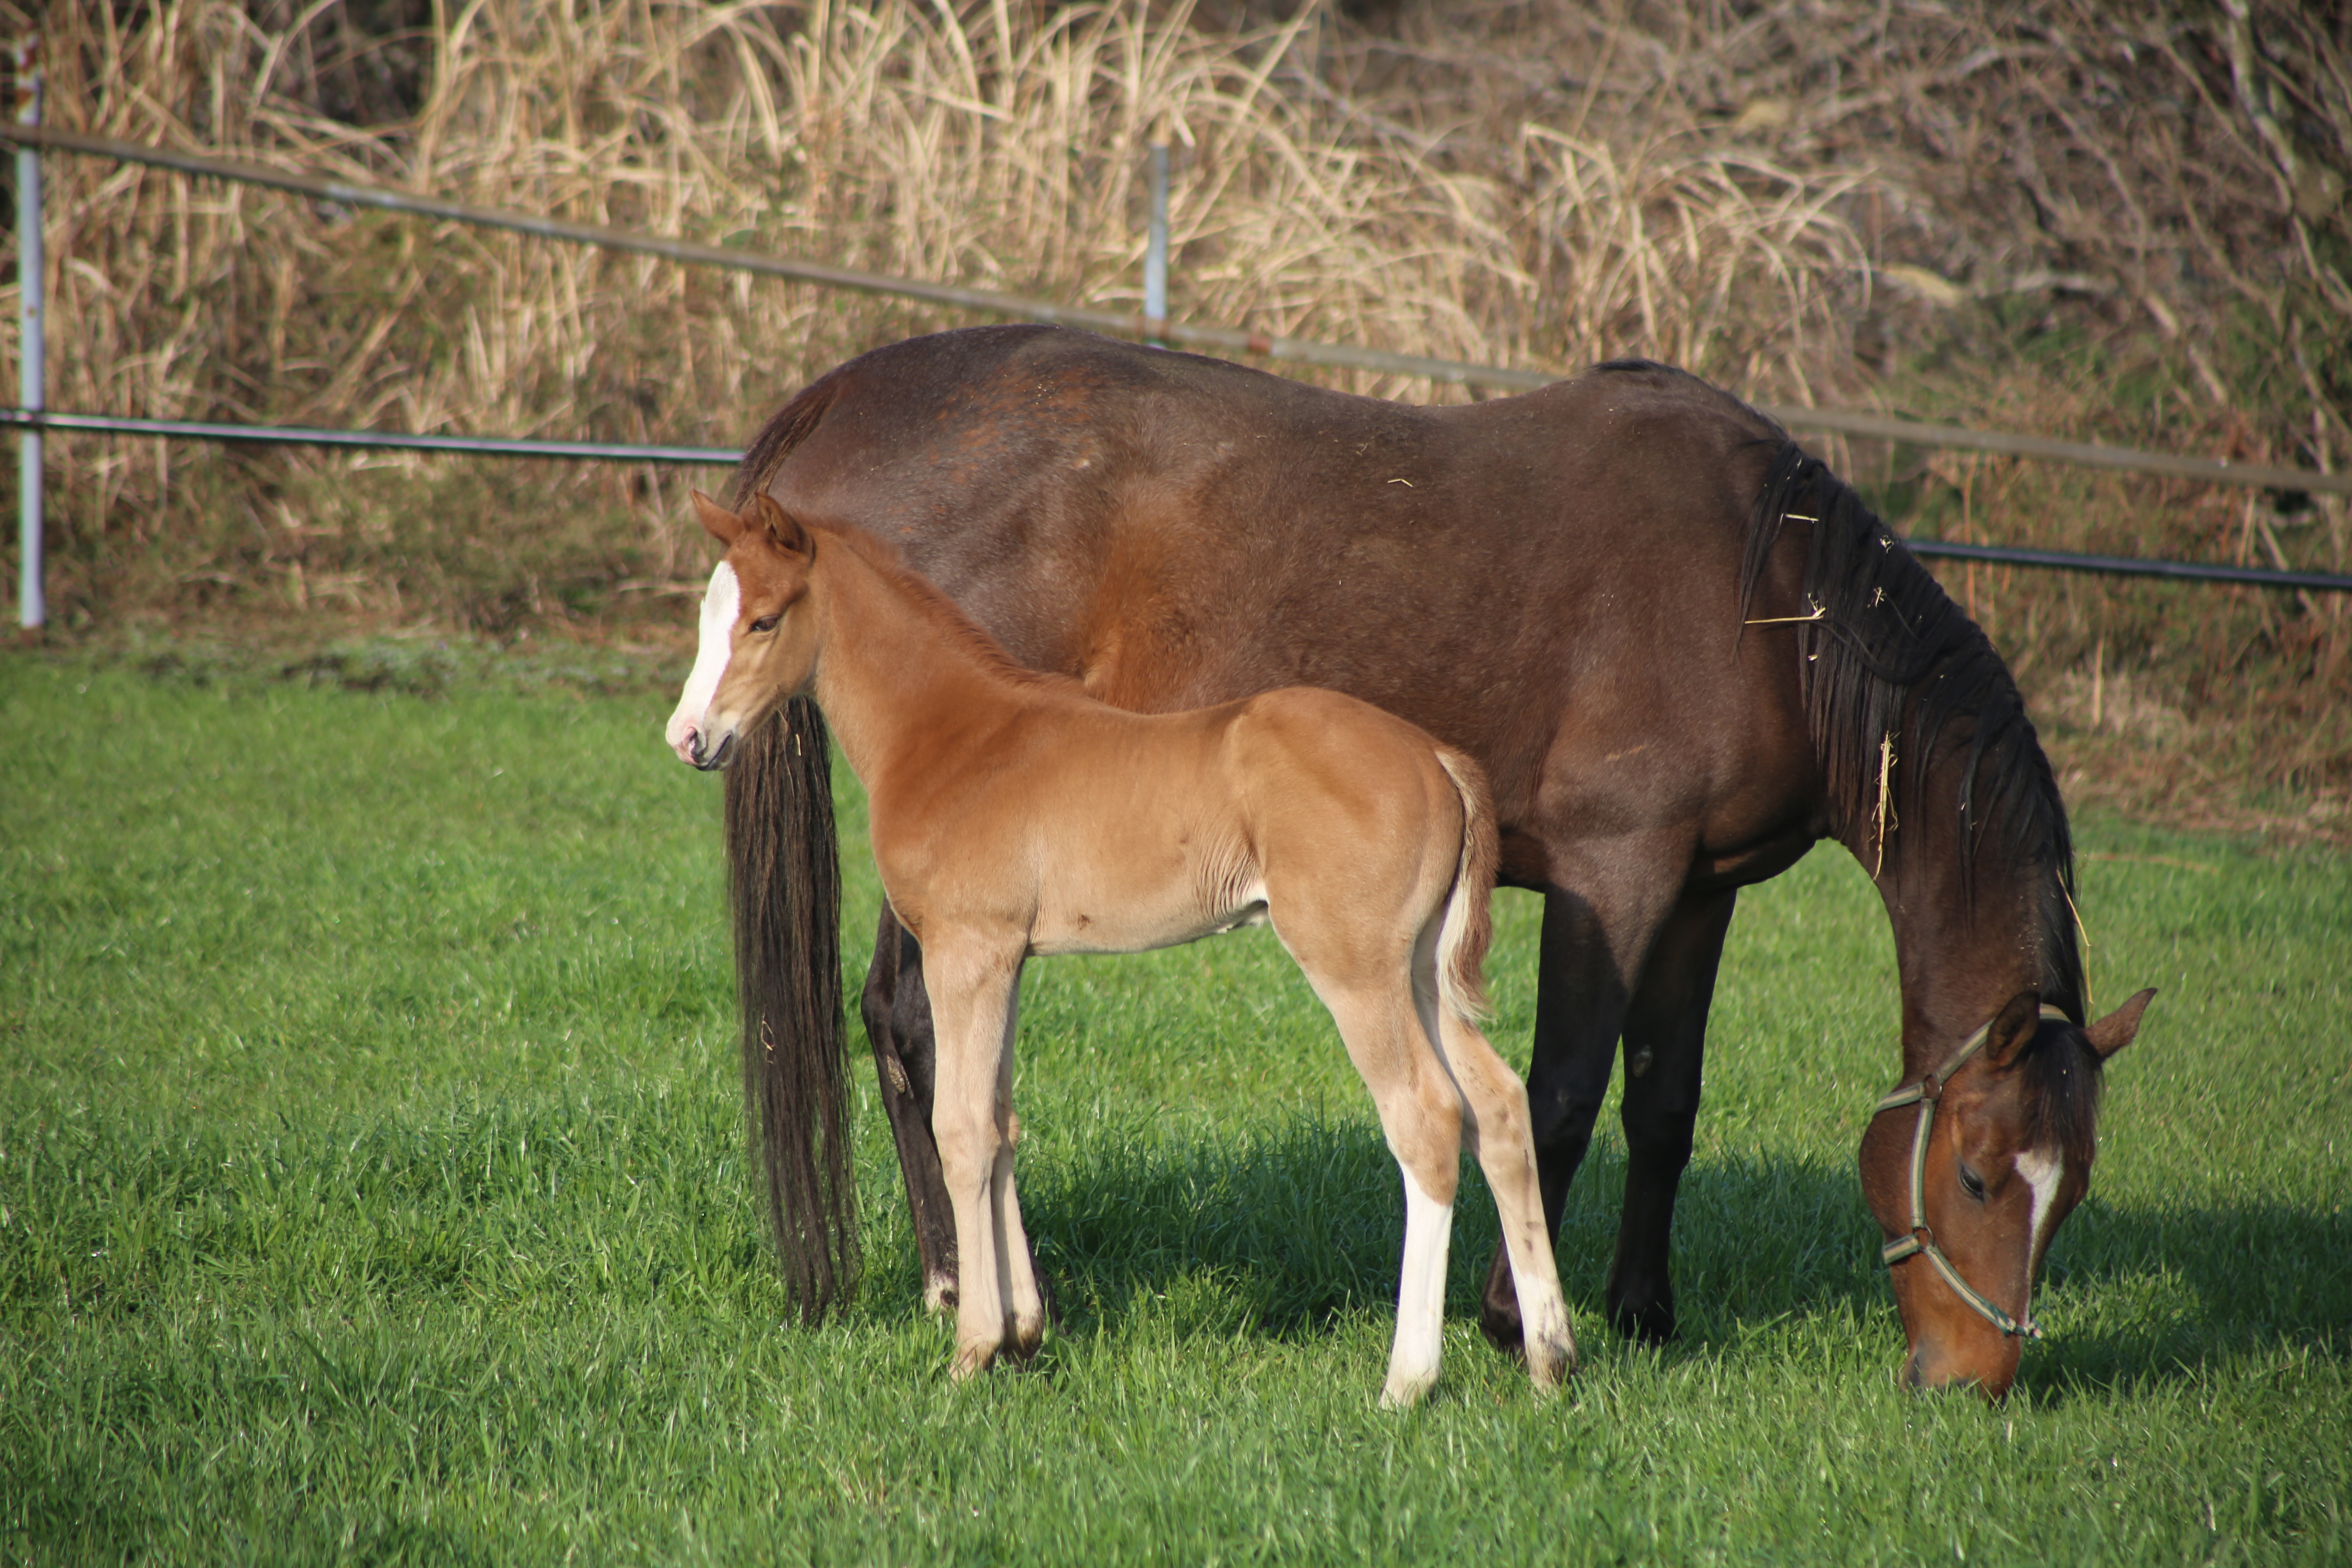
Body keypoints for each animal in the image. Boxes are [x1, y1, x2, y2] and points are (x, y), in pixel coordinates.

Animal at [668, 493, 1580, 1410]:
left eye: (763, 620)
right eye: (709, 616)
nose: (689, 738)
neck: (955, 736)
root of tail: (1438, 757)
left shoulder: (968, 953)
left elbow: (962, 1129)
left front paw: (974, 1351)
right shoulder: (1008, 960)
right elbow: (1001, 1121)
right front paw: (1026, 1333)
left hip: (1358, 972)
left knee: (1425, 1120)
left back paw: (1407, 1380)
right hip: (1421, 972)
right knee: (1498, 1107)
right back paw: (1550, 1360)